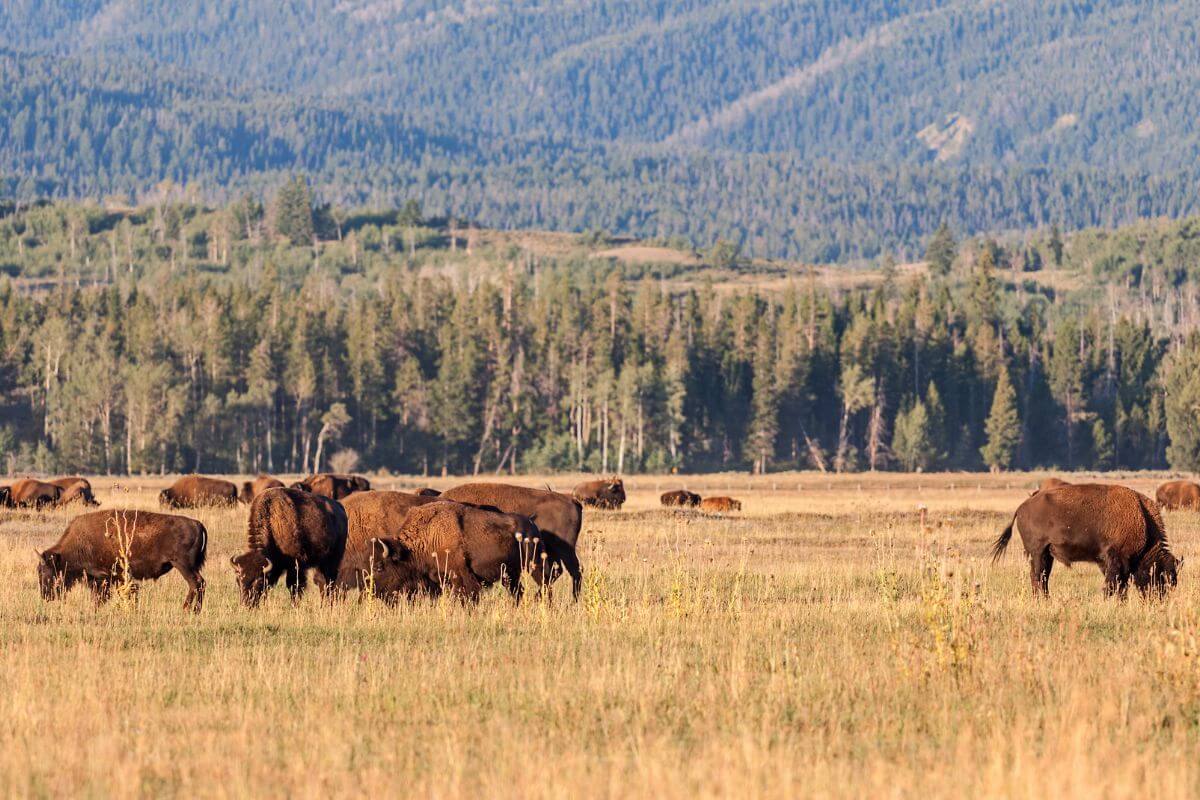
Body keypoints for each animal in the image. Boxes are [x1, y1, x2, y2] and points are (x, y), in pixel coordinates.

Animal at [38, 509, 207, 611]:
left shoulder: (102, 578)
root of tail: (196, 523)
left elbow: (100, 597)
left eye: (46, 571)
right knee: (199, 584)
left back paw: (188, 609)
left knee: (196, 583)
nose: (45, 596)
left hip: (183, 565)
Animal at [992, 483, 1179, 598]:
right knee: (1037, 576)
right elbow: (1116, 583)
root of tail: (1021, 507)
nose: (1159, 599)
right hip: (1038, 552)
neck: (1142, 518)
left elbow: (1119, 584)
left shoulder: (1107, 561)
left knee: (1043, 577)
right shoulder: (1118, 559)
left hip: (1046, 554)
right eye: (1161, 576)